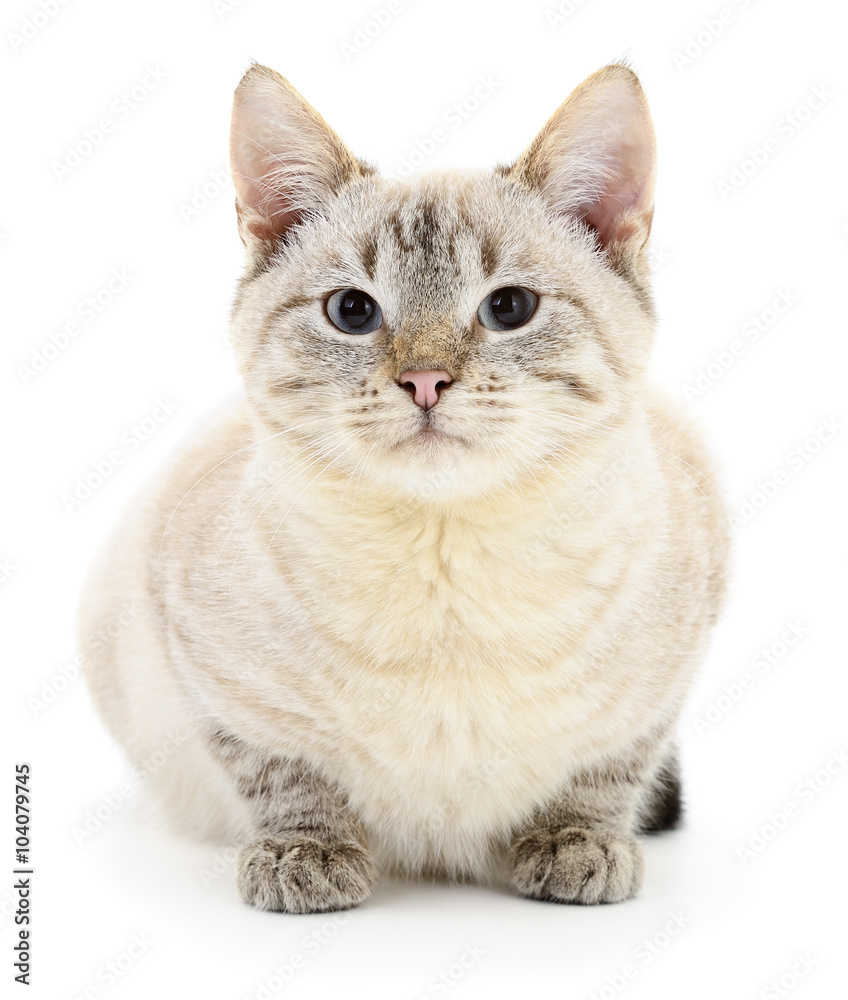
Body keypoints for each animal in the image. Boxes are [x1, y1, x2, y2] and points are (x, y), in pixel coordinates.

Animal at [78, 58, 728, 912]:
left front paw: (575, 845)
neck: (446, 573)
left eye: (509, 307)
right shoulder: (191, 653)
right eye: (352, 311)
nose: (424, 380)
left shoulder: (673, 655)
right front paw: (306, 856)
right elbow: (282, 773)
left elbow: (608, 770)